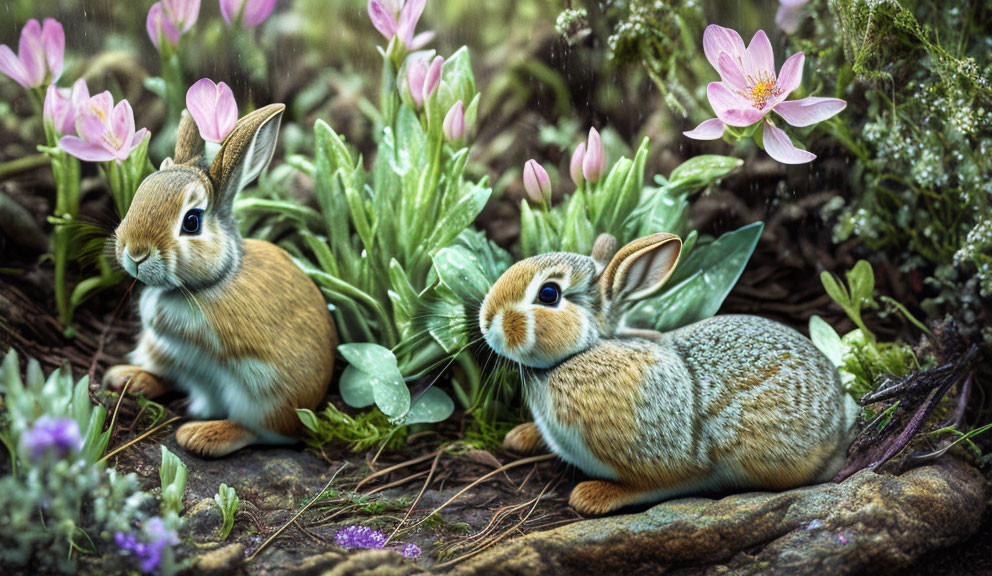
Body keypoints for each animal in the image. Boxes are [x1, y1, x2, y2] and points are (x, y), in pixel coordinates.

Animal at [103, 102, 338, 454]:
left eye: (191, 222)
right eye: (141, 192)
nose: (135, 253)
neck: (213, 281)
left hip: (263, 399)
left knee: (267, 432)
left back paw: (202, 435)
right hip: (159, 352)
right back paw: (128, 378)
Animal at [480, 232, 860, 516]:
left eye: (549, 294)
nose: (486, 321)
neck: (584, 350)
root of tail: (841, 419)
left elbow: (651, 485)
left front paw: (591, 496)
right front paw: (521, 436)